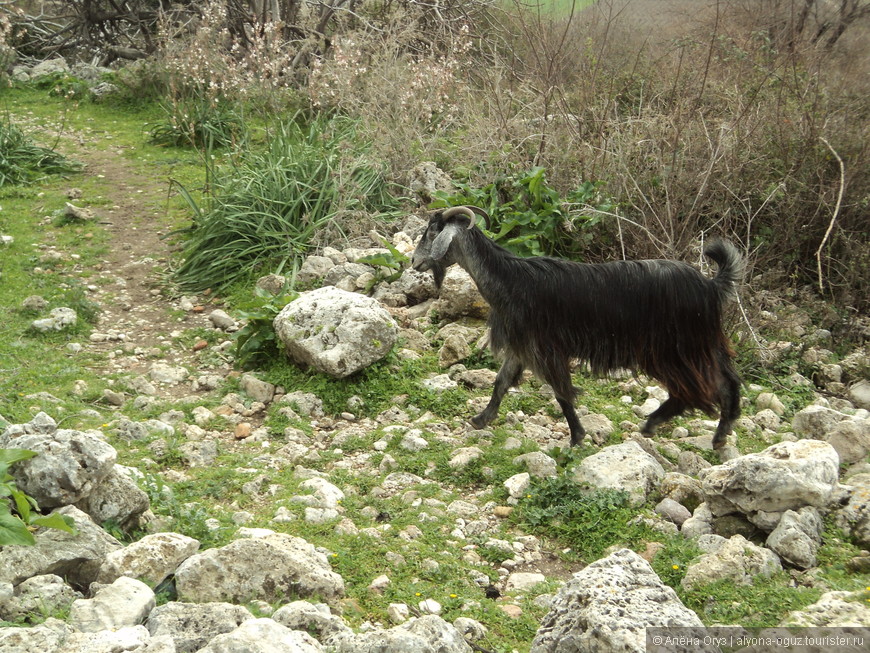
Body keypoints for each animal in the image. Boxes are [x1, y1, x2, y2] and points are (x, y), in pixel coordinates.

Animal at [412, 206, 744, 450]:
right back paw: (719, 436)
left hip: (673, 348)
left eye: (431, 232)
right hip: (703, 344)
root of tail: (711, 286)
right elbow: (501, 382)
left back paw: (653, 423)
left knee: (693, 389)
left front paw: (576, 437)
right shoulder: (522, 345)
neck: (511, 280)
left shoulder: (545, 347)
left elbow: (561, 392)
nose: (414, 261)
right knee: (727, 382)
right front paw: (481, 419)